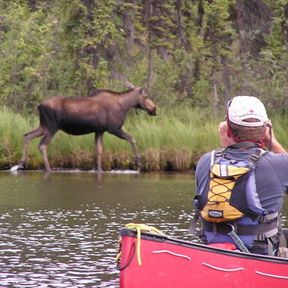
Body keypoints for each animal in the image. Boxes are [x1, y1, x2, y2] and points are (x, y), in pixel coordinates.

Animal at [13, 84, 156, 173]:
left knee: (26, 135)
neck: (125, 106)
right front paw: (139, 162)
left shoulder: (99, 130)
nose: (154, 109)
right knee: (42, 145)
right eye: (146, 96)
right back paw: (48, 169)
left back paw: (21, 162)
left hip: (44, 126)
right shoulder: (113, 129)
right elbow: (132, 138)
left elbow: (99, 150)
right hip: (52, 127)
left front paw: (99, 170)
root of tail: (39, 106)